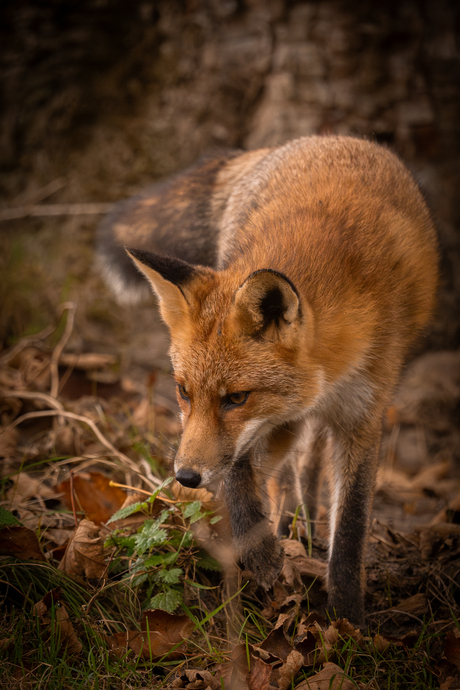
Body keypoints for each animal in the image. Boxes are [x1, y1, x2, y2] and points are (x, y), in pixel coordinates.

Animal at [98, 134, 438, 624]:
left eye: (236, 398)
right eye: (183, 392)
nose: (185, 477)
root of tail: (316, 140)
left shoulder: (362, 414)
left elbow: (351, 524)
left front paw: (347, 617)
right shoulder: (274, 420)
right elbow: (240, 473)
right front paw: (259, 552)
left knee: (310, 463)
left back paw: (307, 526)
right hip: (289, 420)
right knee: (289, 471)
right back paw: (290, 523)